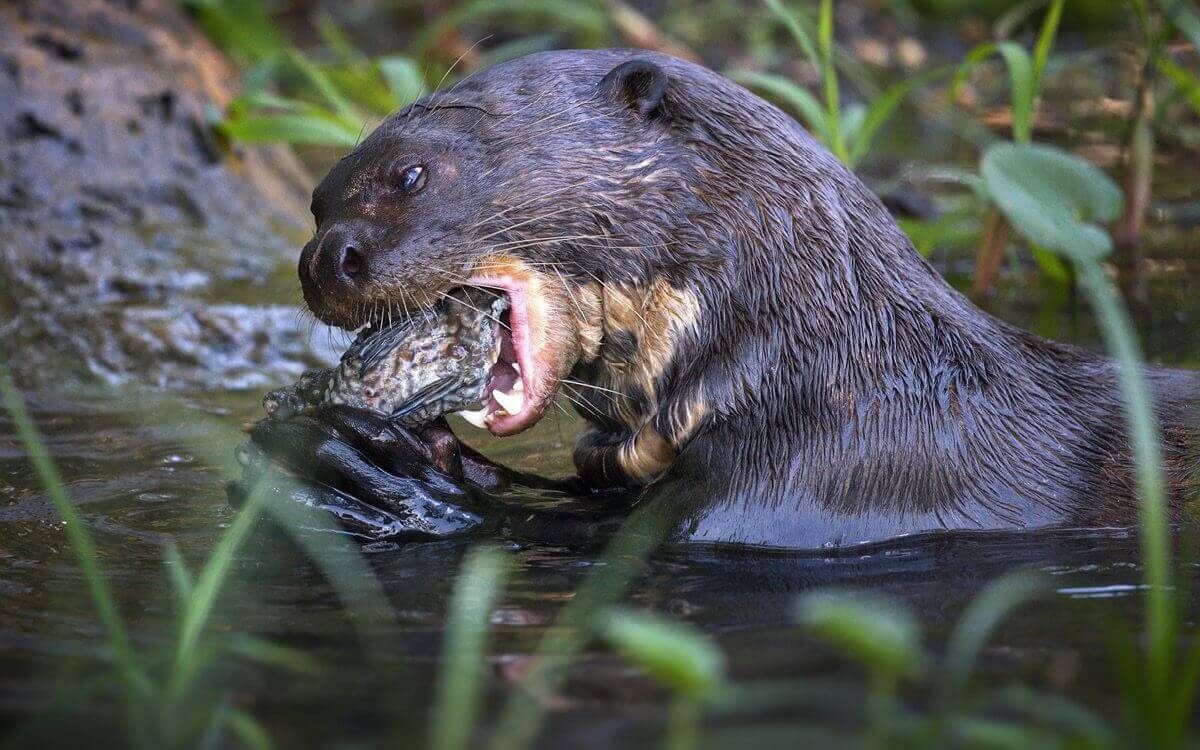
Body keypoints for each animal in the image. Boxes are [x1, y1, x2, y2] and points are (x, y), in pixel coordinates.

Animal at [239, 49, 1200, 549]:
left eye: (409, 175)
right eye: (316, 200)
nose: (323, 257)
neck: (836, 371)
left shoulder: (818, 492)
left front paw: (370, 473)